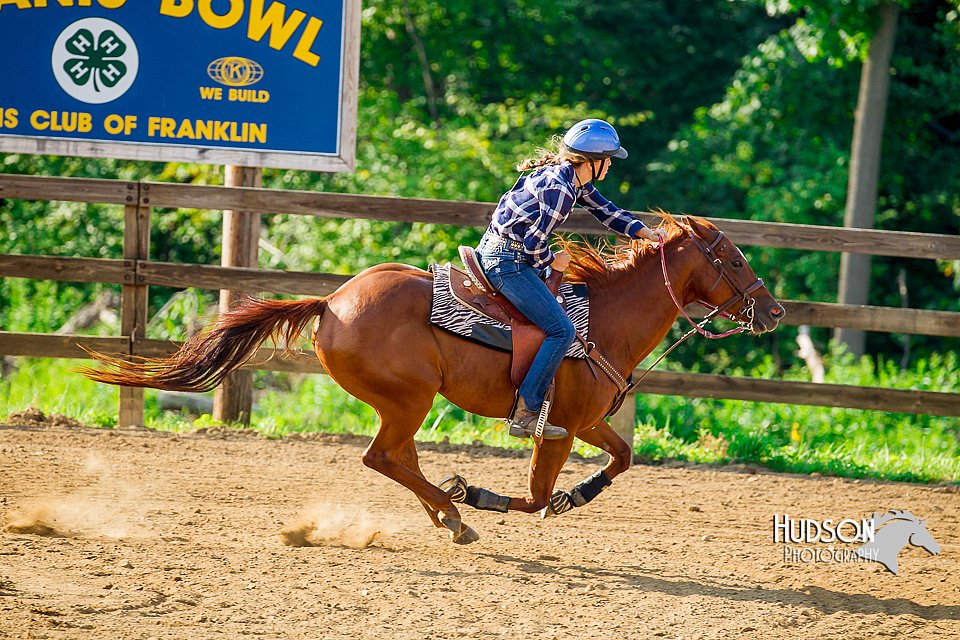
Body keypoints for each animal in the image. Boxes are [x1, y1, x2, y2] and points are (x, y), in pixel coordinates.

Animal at [82, 215, 784, 544]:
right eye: (729, 256)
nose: (773, 311)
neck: (599, 321)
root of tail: (331, 303)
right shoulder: (555, 427)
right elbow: (533, 493)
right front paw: (488, 495)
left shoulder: (585, 422)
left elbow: (623, 459)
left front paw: (574, 496)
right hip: (409, 399)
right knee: (383, 456)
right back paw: (457, 508)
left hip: (403, 404)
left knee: (398, 459)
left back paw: (446, 515)